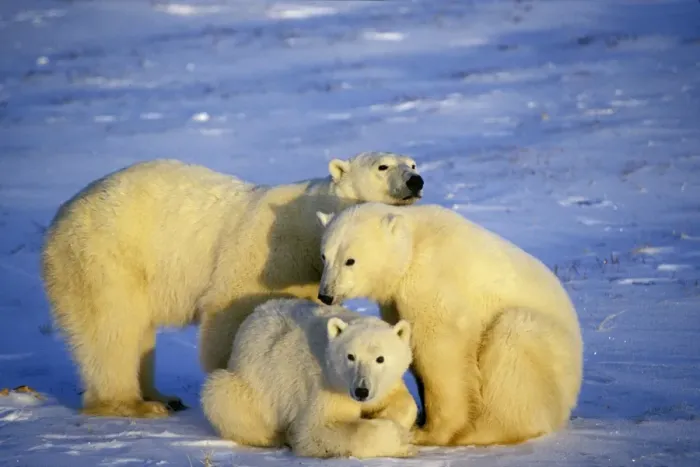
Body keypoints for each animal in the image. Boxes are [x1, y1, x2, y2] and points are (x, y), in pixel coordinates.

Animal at [40, 152, 424, 418]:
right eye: (383, 166)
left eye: (413, 162)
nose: (416, 181)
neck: (307, 222)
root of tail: (59, 218)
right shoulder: (268, 255)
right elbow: (231, 310)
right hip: (104, 258)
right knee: (112, 328)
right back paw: (133, 404)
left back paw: (161, 396)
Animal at [201, 298, 418, 459]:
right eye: (350, 356)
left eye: (380, 358)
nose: (361, 391)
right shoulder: (325, 385)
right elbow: (316, 431)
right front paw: (401, 441)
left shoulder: (383, 384)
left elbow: (405, 402)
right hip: (249, 386)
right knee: (223, 396)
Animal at [315, 202, 583, 447]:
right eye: (324, 256)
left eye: (350, 260)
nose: (325, 295)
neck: (413, 244)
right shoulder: (394, 300)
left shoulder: (431, 280)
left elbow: (440, 353)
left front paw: (428, 433)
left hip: (547, 352)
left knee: (513, 346)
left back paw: (479, 432)